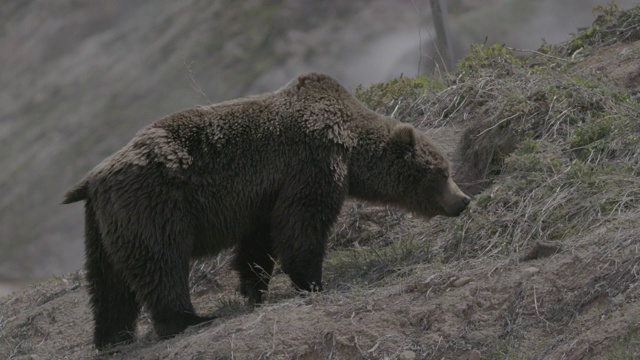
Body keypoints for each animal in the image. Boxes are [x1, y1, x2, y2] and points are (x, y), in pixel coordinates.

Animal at [63, 71, 470, 350]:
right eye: (443, 172)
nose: (463, 199)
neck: (349, 144)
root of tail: (92, 178)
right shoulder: (311, 162)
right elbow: (302, 224)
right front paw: (312, 281)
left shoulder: (263, 197)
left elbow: (258, 243)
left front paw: (253, 288)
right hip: (153, 203)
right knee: (160, 263)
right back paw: (189, 318)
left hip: (103, 224)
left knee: (108, 282)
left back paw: (112, 335)